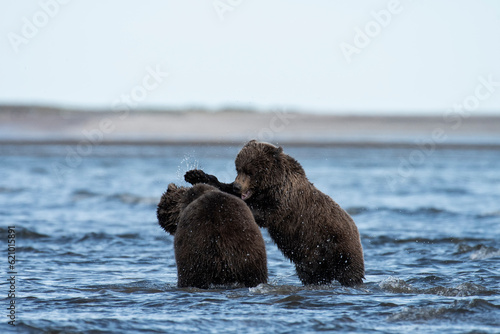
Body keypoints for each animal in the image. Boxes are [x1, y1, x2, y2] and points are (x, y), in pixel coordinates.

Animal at [186, 141, 366, 288]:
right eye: (238, 168)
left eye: (250, 172)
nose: (238, 186)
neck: (271, 185)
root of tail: (356, 229)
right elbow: (224, 187)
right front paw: (196, 175)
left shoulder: (284, 202)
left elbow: (264, 214)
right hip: (311, 261)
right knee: (312, 275)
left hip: (339, 247)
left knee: (350, 273)